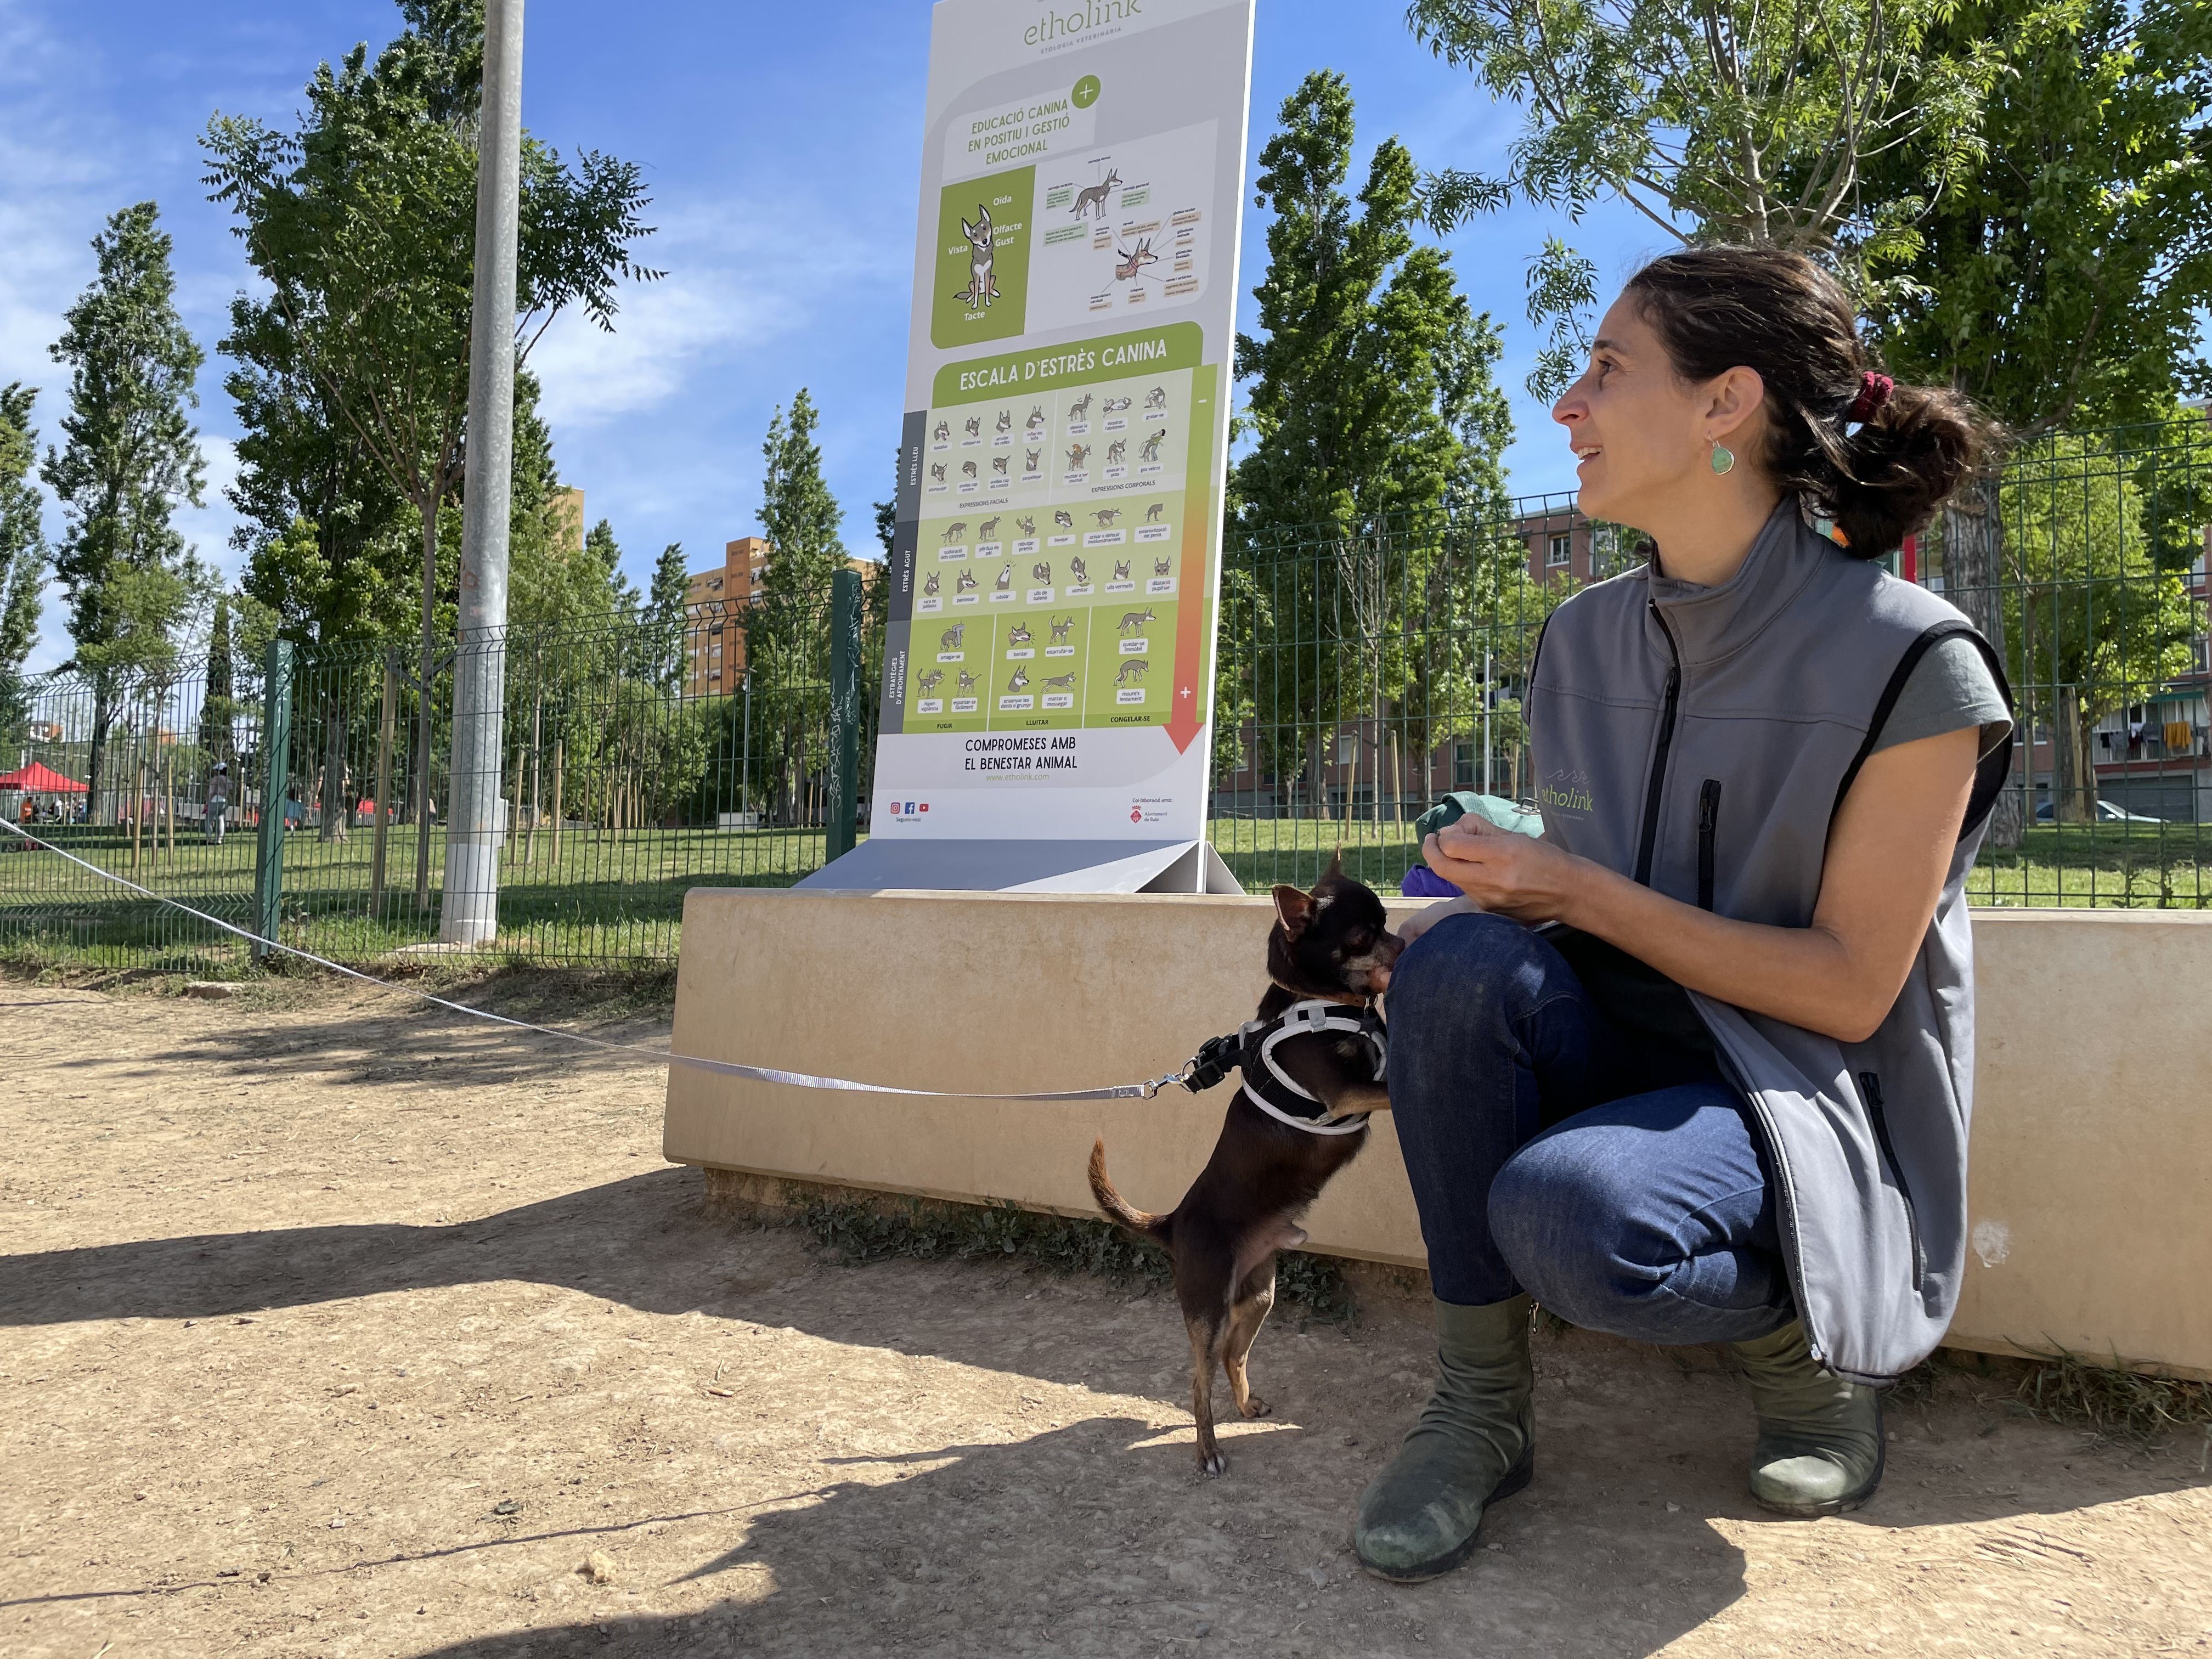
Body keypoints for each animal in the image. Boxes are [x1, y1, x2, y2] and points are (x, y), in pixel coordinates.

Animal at [1097, 862, 1407, 1477]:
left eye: (1386, 921)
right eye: (1364, 935)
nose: (1403, 943)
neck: (1324, 1003)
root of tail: (1172, 1222)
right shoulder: (1345, 1091)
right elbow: (1391, 1085)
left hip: (1258, 1295)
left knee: (1233, 1359)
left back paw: (1245, 1406)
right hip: (1209, 1305)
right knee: (1199, 1380)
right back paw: (1209, 1450)